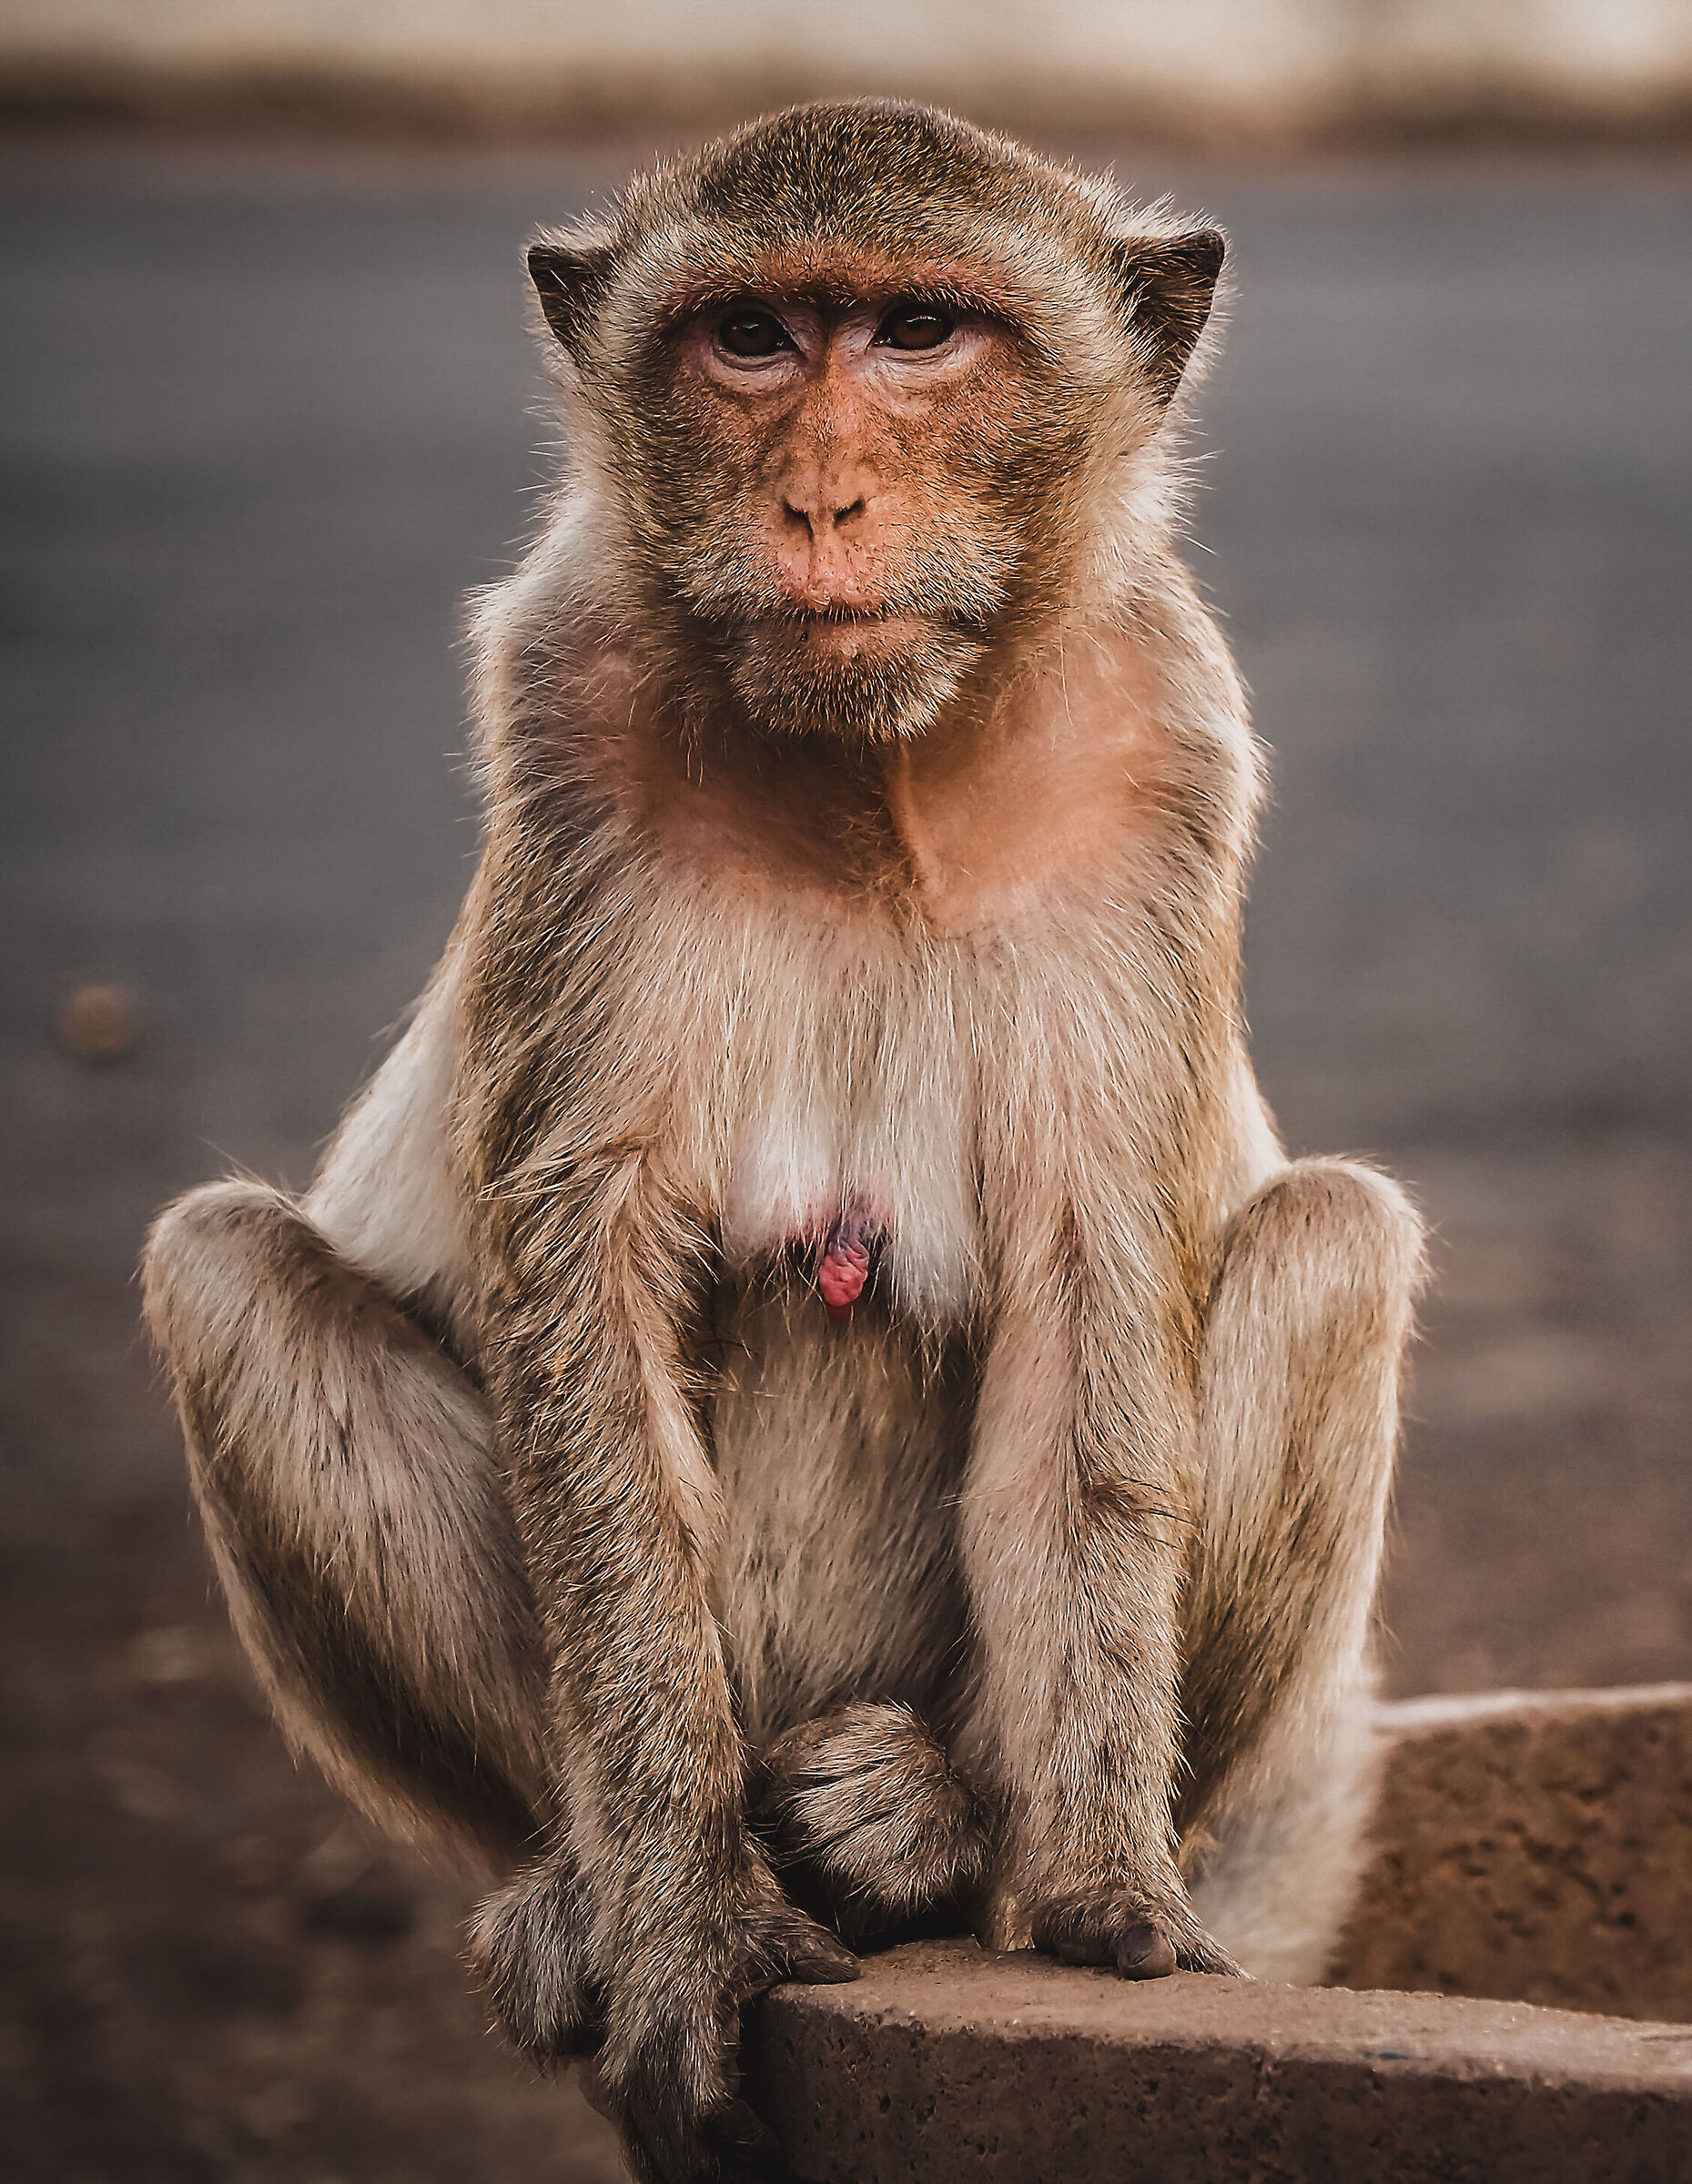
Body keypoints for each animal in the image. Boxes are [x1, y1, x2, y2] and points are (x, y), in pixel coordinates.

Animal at [142, 101, 1426, 2184]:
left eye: (916, 332)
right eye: (745, 339)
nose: (819, 502)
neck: (873, 779)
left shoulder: (1156, 761)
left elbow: (1088, 1305)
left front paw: (1098, 1910)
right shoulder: (567, 726)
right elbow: (586, 1296)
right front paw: (678, 1923)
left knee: (1332, 1239)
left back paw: (935, 1841)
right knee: (224, 1269)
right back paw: (581, 1882)